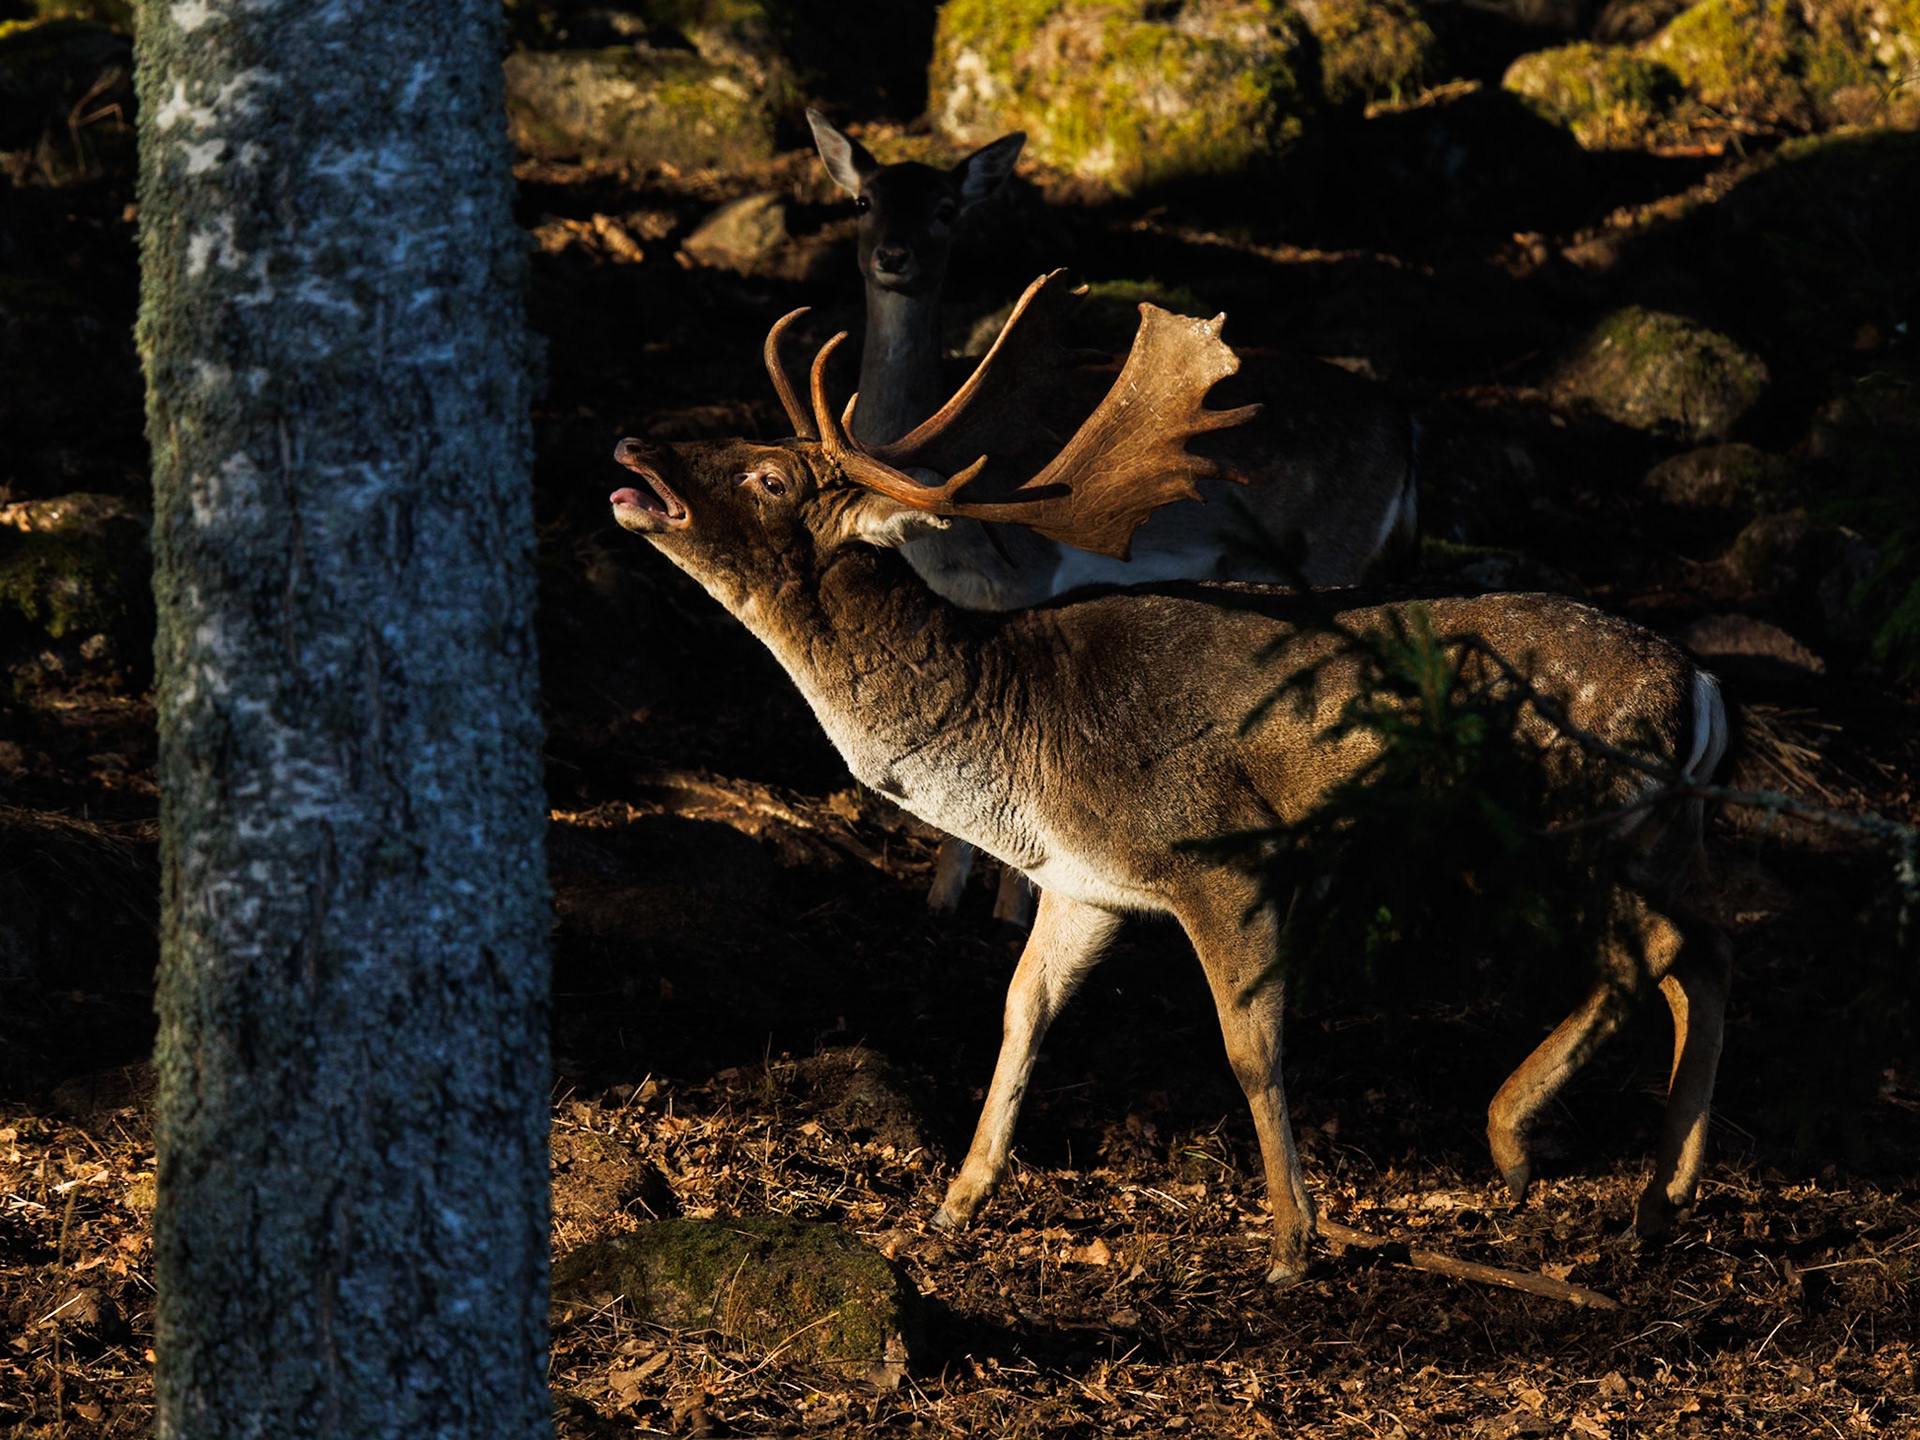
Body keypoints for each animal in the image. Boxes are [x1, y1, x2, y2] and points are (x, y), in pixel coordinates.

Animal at [606, 278, 1733, 1284]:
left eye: (770, 479)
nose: (632, 449)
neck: (1018, 739)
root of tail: (1704, 687)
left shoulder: (1223, 858)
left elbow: (1249, 1047)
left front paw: (1290, 1244)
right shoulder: (1085, 883)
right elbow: (1022, 1010)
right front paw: (957, 1200)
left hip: (1564, 814)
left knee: (1654, 949)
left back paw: (1510, 1141)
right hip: (1649, 831)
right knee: (1705, 952)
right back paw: (1659, 1197)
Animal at [808, 113, 1423, 917]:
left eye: (946, 209)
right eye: (863, 200)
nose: (894, 256)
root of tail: (1408, 429)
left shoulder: (1033, 574)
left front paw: (1012, 908)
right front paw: (942, 900)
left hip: (1331, 552)